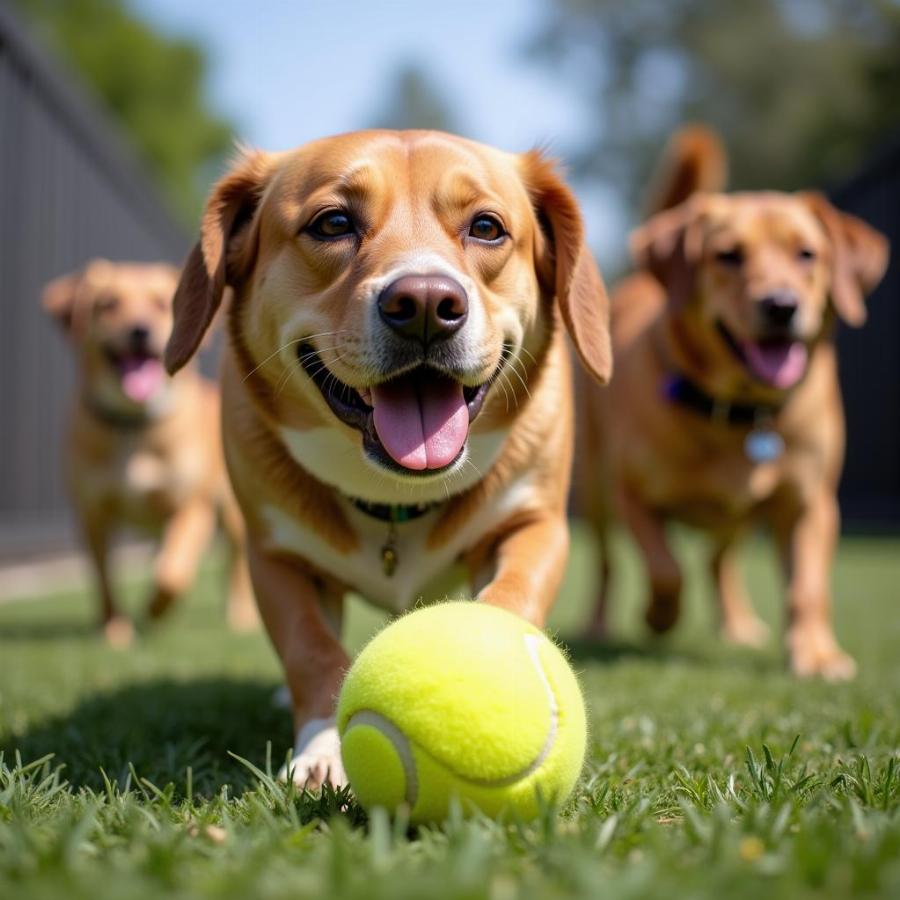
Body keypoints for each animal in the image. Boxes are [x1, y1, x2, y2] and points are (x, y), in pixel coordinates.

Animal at [43, 256, 256, 644]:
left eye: (161, 304)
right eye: (108, 304)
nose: (139, 330)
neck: (134, 424)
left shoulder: (191, 506)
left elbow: (172, 573)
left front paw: (155, 610)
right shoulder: (92, 514)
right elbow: (103, 578)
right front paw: (114, 629)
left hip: (234, 513)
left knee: (235, 566)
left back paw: (240, 616)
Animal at [163, 128, 612, 788]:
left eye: (487, 227)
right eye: (333, 222)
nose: (425, 302)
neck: (396, 493)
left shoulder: (535, 526)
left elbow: (513, 596)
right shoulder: (275, 558)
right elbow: (311, 649)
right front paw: (324, 748)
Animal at [572, 125, 888, 676]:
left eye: (807, 254)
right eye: (728, 256)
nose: (781, 306)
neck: (741, 412)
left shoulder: (810, 504)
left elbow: (808, 587)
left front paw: (816, 654)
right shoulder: (632, 494)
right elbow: (666, 567)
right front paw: (658, 616)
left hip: (738, 518)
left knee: (721, 562)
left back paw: (738, 625)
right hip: (595, 488)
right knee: (608, 564)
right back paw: (599, 624)